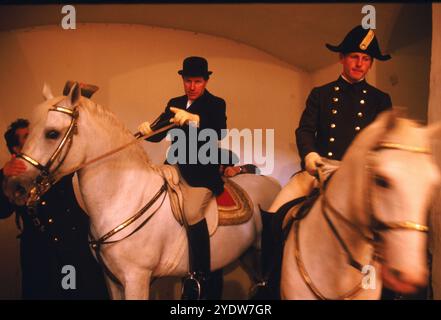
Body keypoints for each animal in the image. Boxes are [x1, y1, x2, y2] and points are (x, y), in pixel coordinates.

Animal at [5, 84, 280, 300]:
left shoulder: (136, 278)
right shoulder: (113, 280)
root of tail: (274, 184)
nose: (13, 186)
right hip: (249, 256)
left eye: (52, 133)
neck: (124, 196)